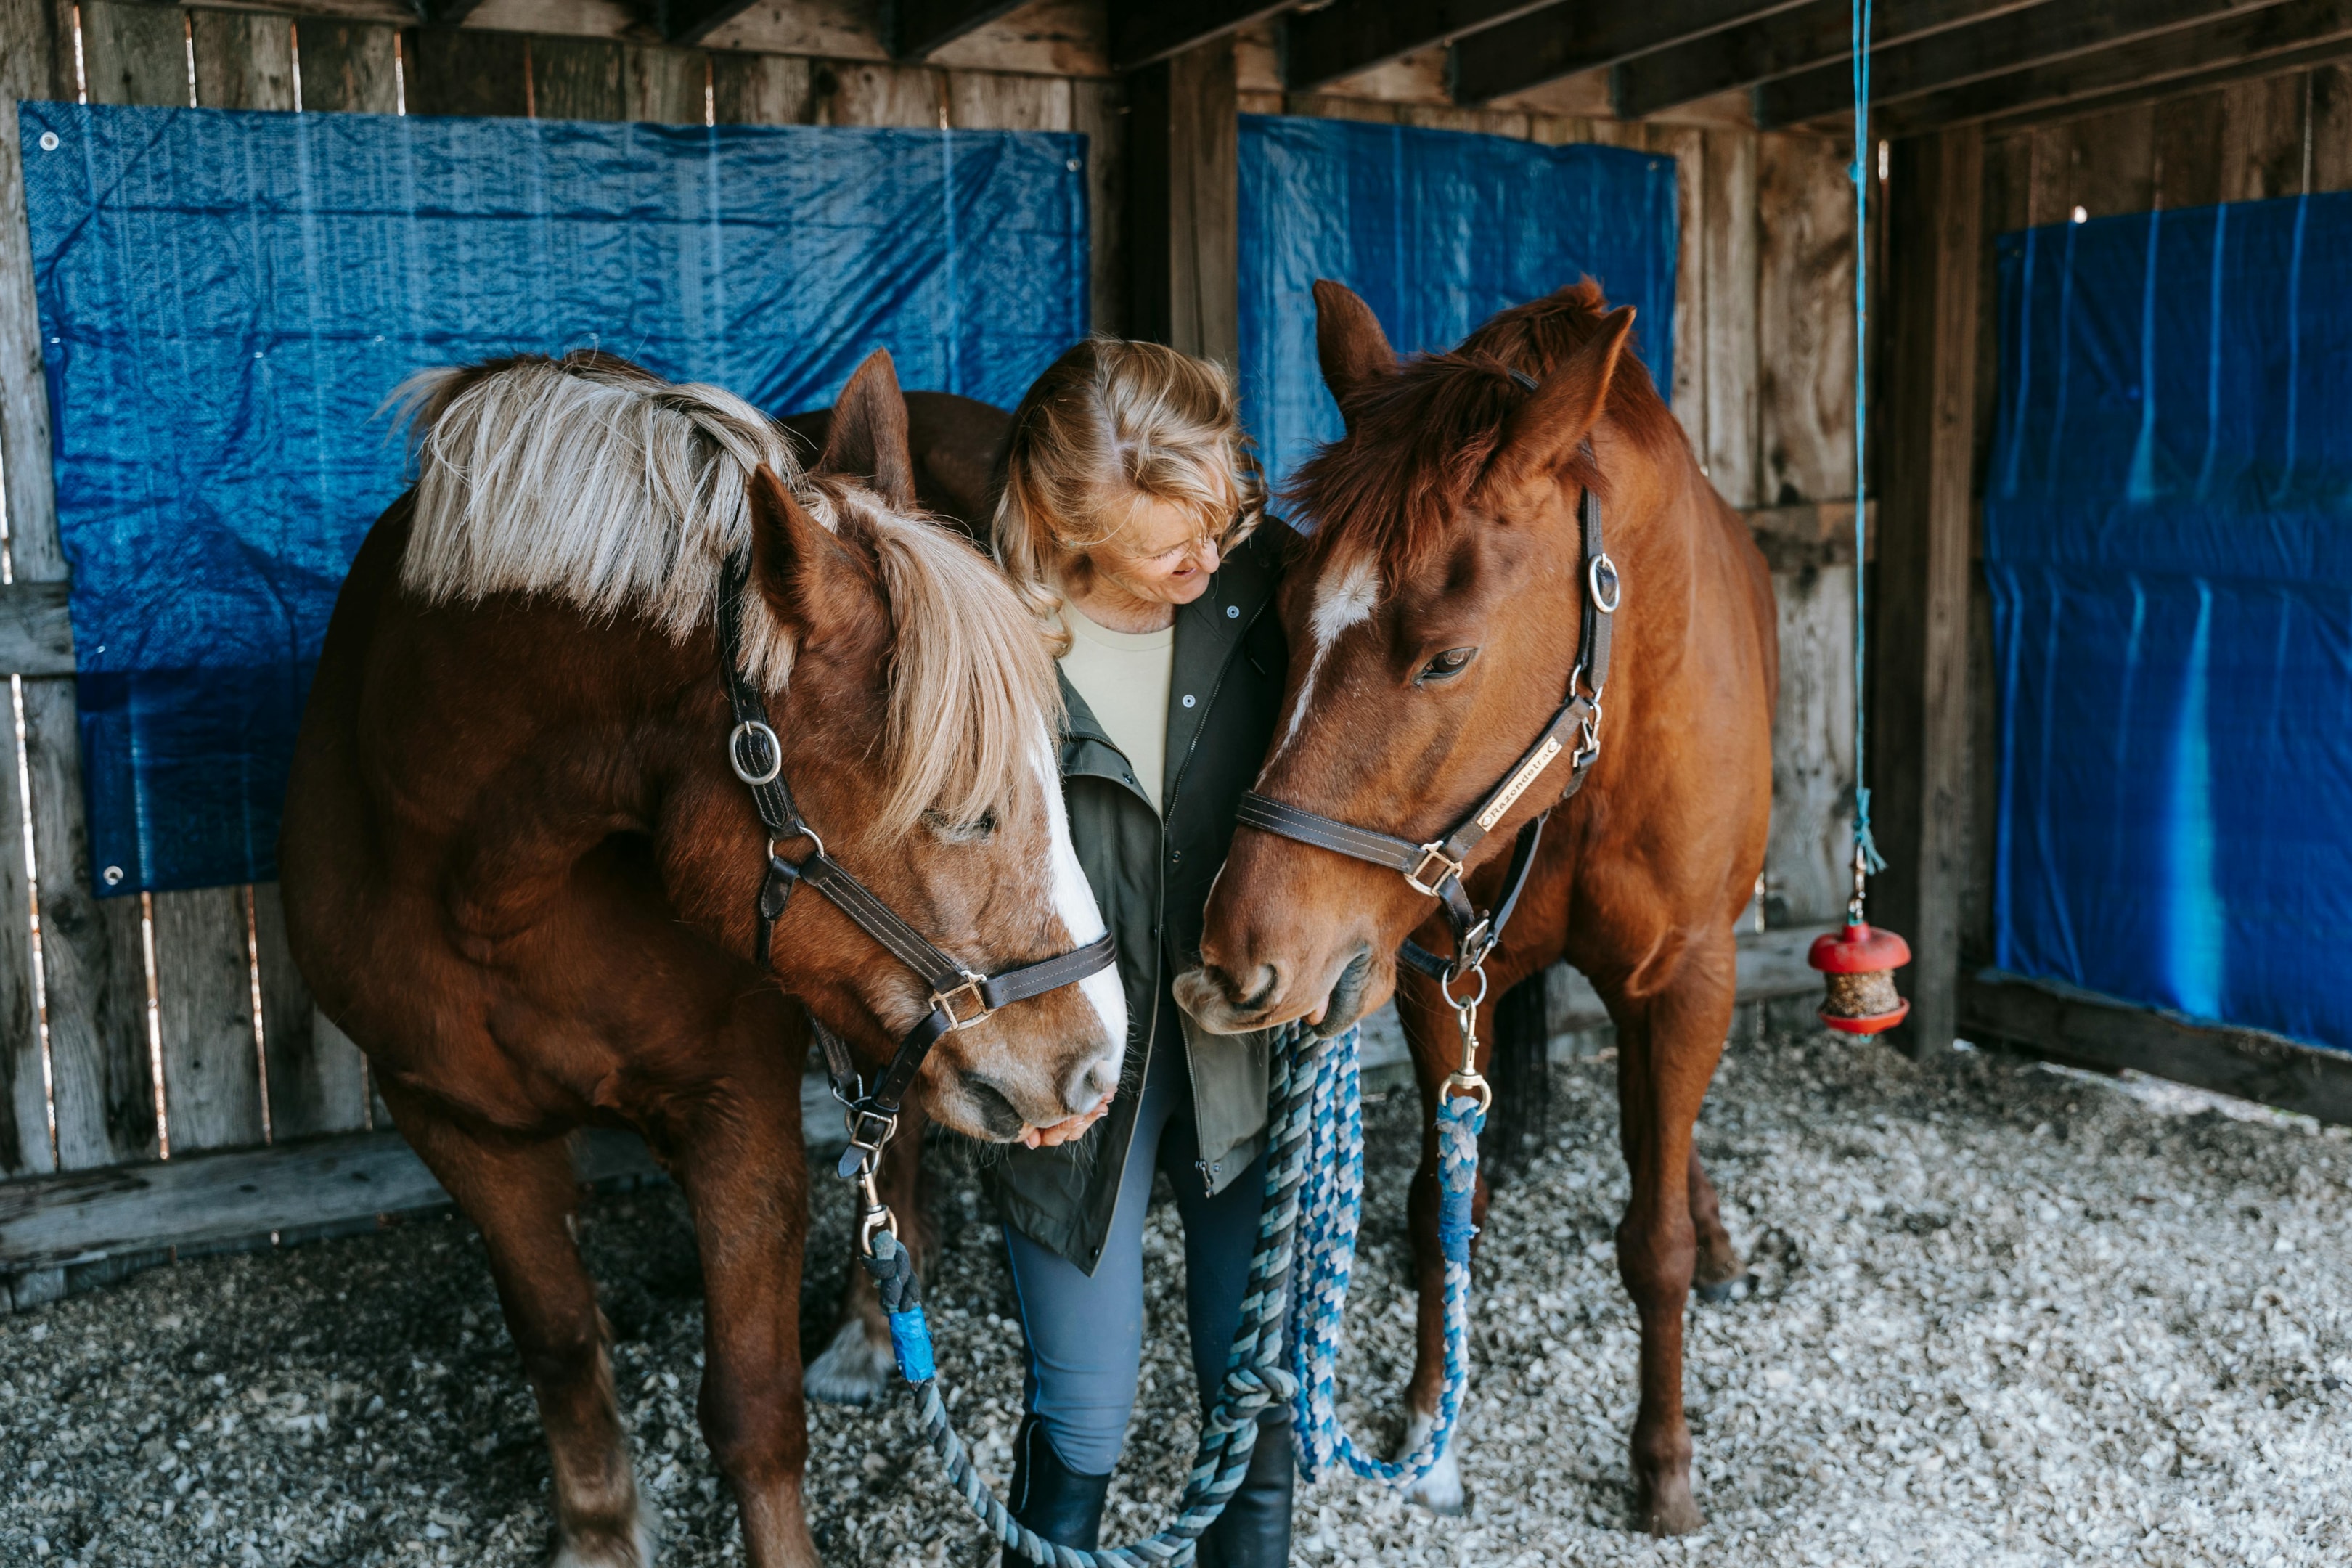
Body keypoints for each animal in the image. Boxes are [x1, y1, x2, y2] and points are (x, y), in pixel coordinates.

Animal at [278, 347, 1125, 1568]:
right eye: (959, 807)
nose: (1096, 1066)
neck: (486, 888)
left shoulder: (735, 1112)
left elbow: (751, 1406)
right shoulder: (453, 1123)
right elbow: (558, 1343)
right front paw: (597, 1530)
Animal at [1175, 280, 1777, 1535]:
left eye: (1446, 661)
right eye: (1283, 618)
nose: (1241, 956)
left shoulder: (1691, 976)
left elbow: (1653, 1242)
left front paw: (1664, 1465)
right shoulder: (1437, 978)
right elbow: (1441, 1206)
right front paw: (1426, 1430)